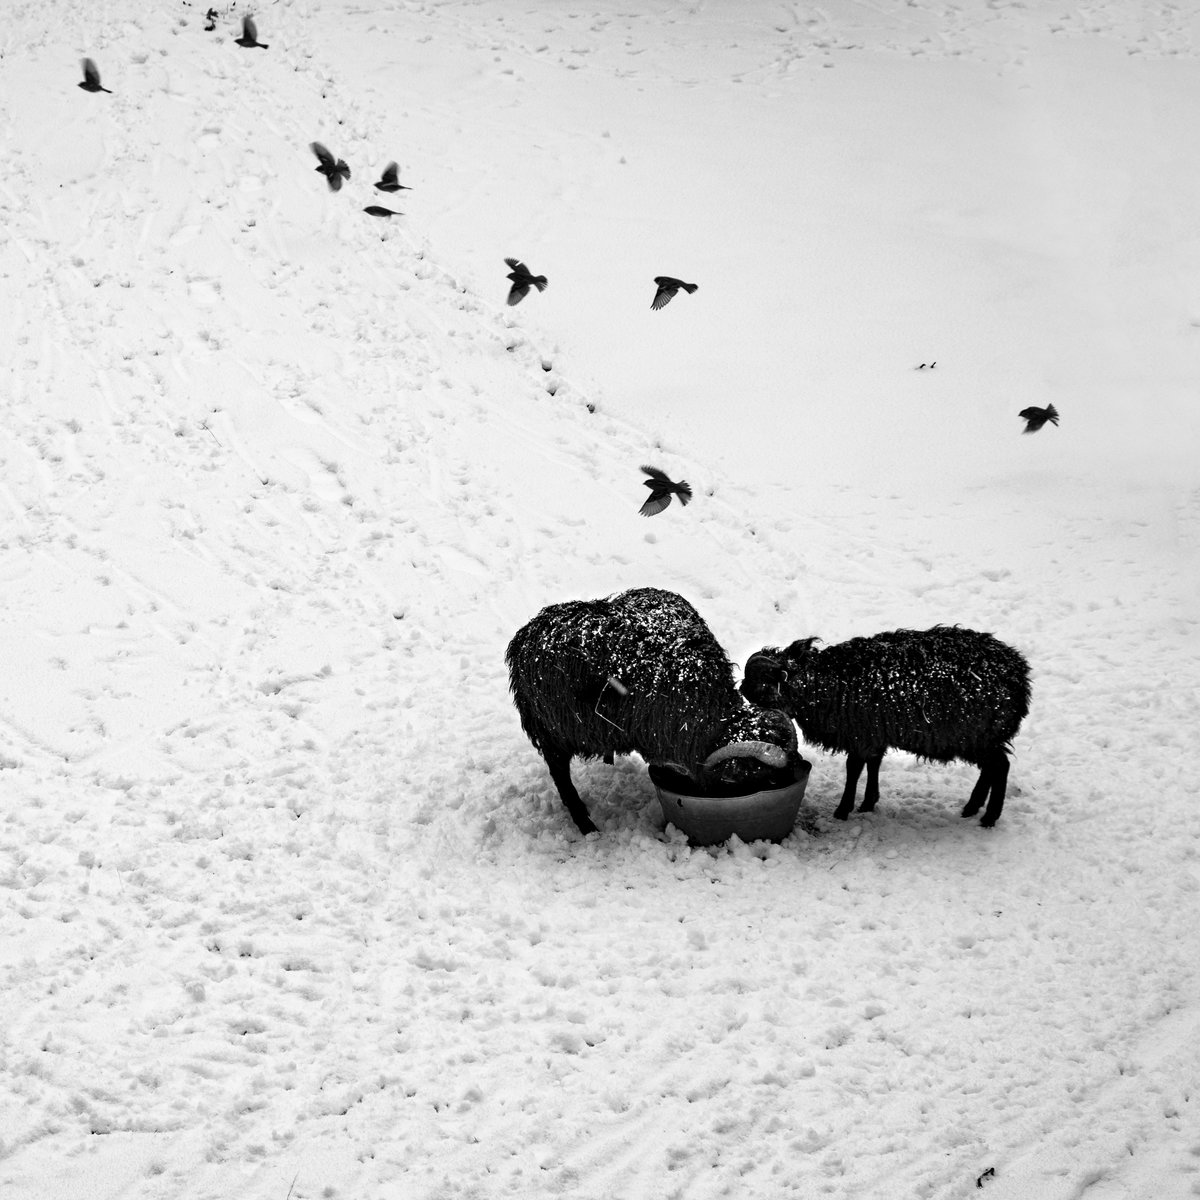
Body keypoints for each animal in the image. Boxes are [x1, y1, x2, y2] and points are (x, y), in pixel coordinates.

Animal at [739, 624, 1032, 830]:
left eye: (758, 679)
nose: (740, 690)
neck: (820, 683)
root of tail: (1020, 675)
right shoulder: (874, 734)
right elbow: (874, 765)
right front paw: (868, 802)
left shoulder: (860, 733)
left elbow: (854, 769)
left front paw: (843, 810)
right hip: (979, 737)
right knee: (991, 768)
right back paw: (972, 807)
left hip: (976, 734)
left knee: (1000, 766)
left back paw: (989, 817)